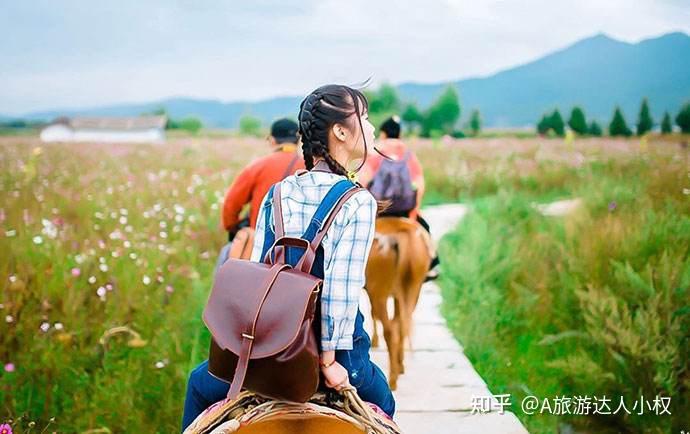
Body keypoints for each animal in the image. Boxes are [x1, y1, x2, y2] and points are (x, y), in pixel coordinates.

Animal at [362, 217, 428, 390]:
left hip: (379, 291)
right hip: (414, 288)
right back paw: (399, 368)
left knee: (390, 329)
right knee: (401, 325)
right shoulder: (399, 296)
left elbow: (372, 314)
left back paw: (392, 380)